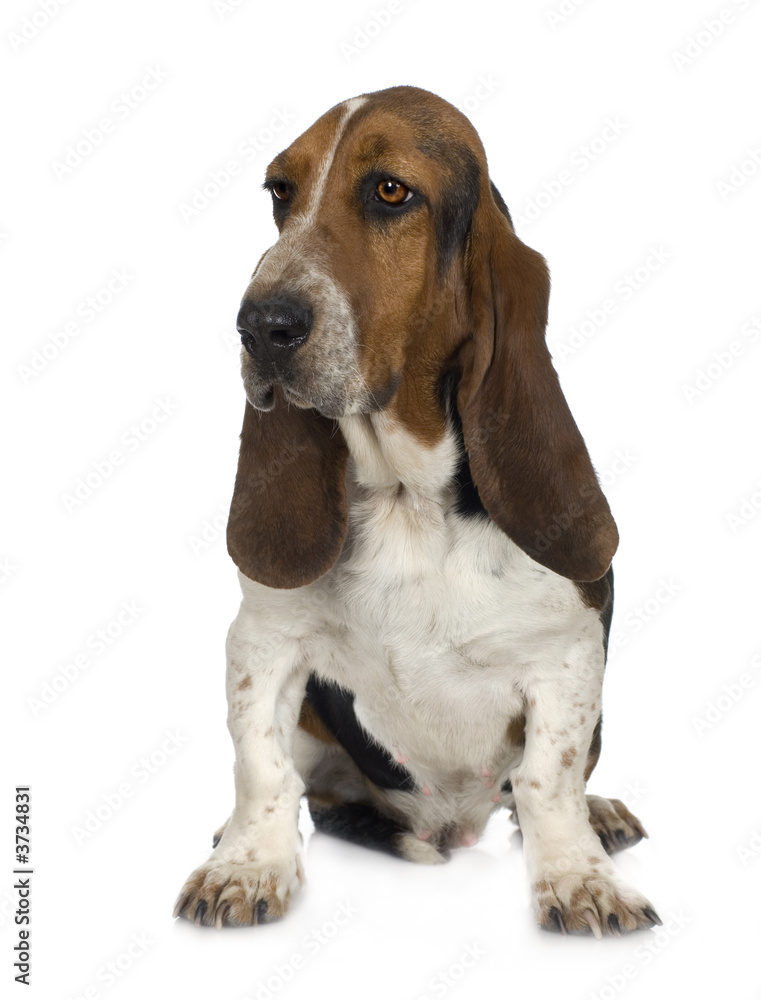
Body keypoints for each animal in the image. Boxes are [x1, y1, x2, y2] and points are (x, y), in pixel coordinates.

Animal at [174, 86, 660, 936]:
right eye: (279, 192)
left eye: (391, 191)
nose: (260, 325)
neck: (405, 498)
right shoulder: (262, 641)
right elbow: (260, 768)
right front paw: (246, 867)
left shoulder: (567, 657)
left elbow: (546, 780)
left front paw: (577, 879)